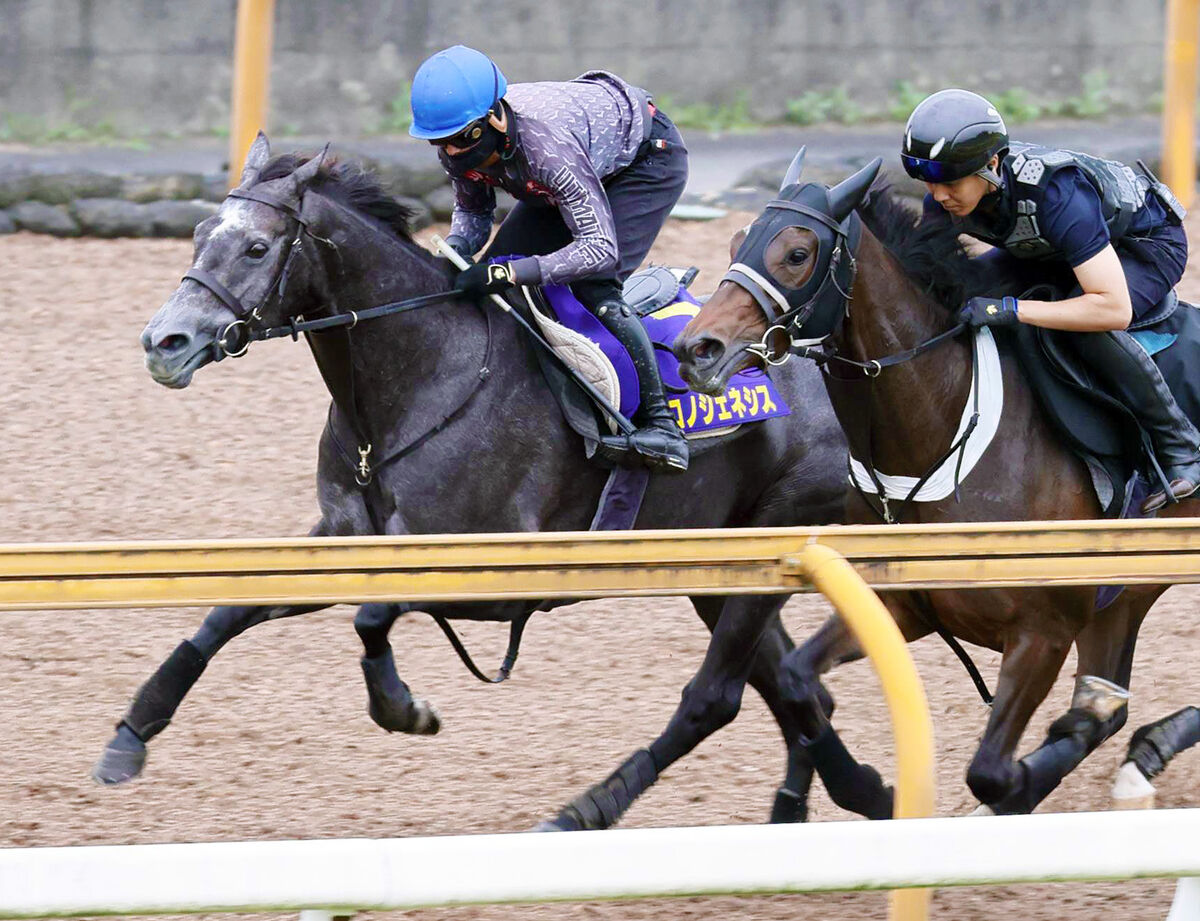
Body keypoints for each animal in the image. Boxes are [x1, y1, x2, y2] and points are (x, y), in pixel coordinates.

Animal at [98, 133, 854, 829]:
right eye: (200, 235)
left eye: (257, 248)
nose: (163, 343)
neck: (421, 381)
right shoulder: (345, 536)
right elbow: (227, 612)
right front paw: (132, 732)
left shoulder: (499, 577)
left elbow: (372, 615)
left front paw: (403, 707)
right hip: (718, 568)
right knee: (794, 689)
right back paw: (841, 795)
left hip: (773, 533)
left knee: (724, 694)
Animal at [676, 152, 1200, 820]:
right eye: (737, 241)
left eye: (797, 253)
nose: (695, 348)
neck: (942, 425)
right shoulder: (900, 604)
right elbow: (795, 679)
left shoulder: (1043, 633)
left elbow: (993, 774)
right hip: (1125, 596)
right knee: (1110, 695)